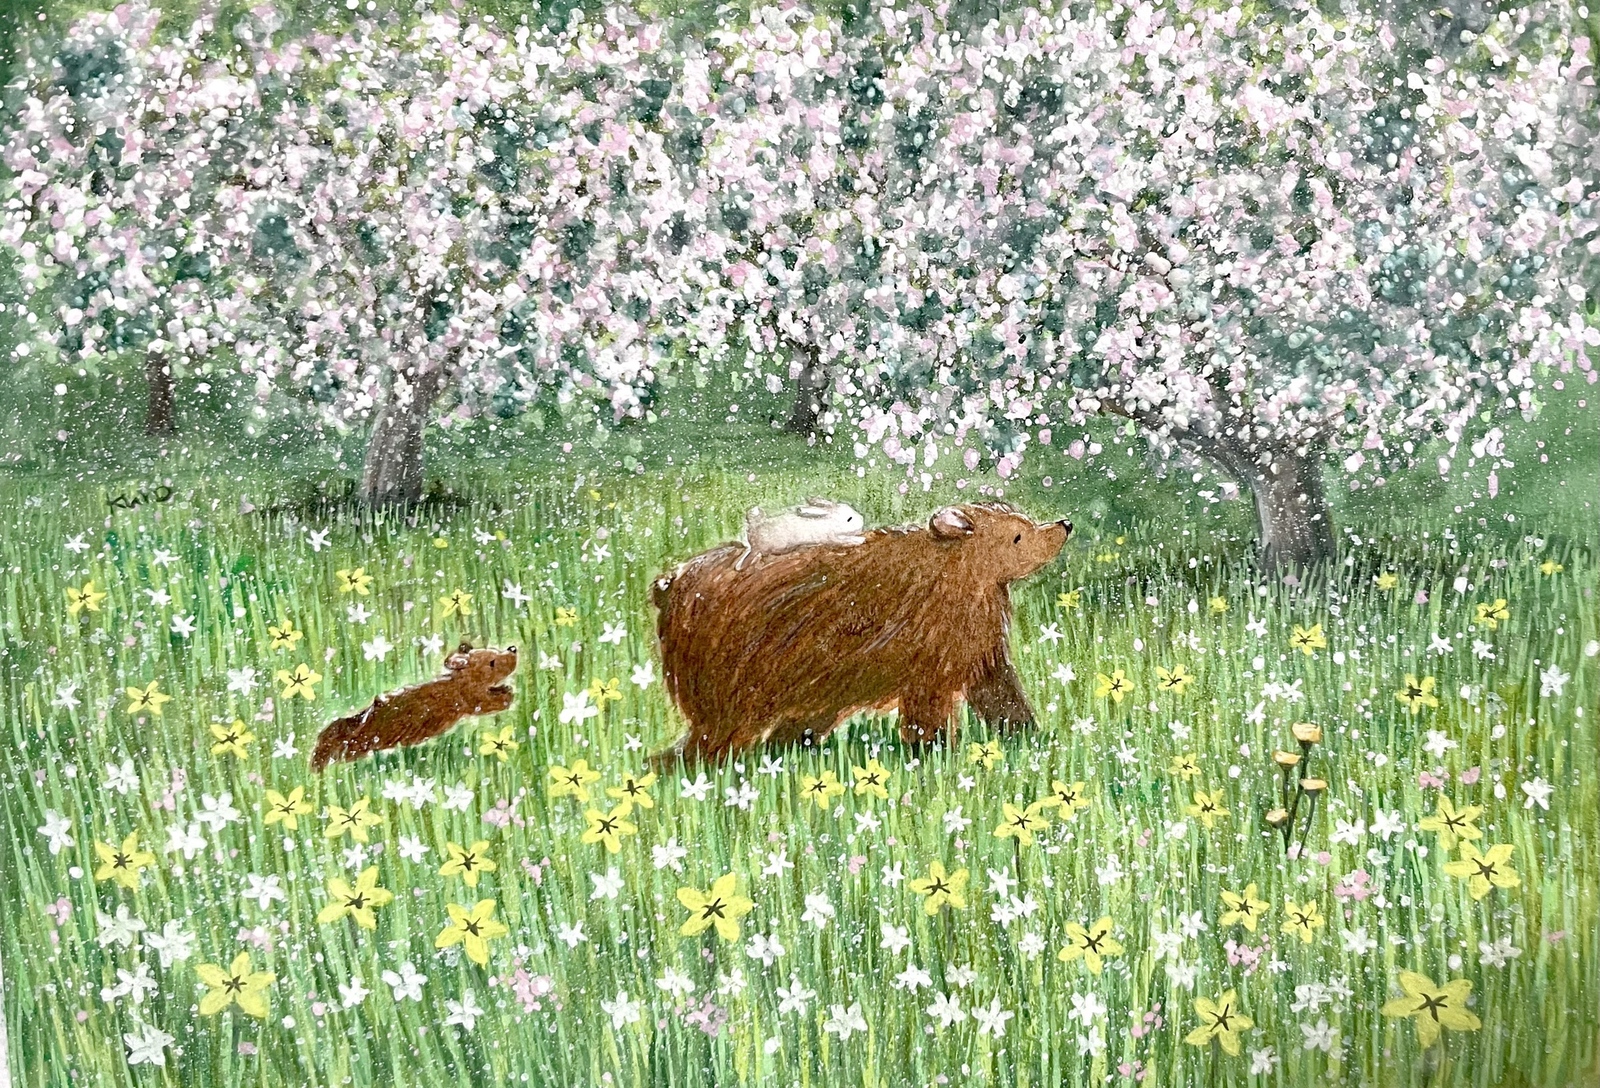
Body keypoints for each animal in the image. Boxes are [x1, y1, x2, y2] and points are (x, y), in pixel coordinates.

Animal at [310, 641, 517, 771]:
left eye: (494, 652)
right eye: (492, 662)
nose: (513, 648)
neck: (455, 682)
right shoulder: (470, 700)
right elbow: (488, 702)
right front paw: (508, 695)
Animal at [651, 501, 1071, 765]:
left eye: (1024, 521)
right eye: (1017, 536)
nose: (1064, 525)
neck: (958, 574)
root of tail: (669, 585)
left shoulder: (975, 644)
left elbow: (1002, 694)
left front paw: (1029, 736)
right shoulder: (929, 655)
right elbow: (929, 715)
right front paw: (934, 757)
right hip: (732, 675)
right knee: (711, 739)